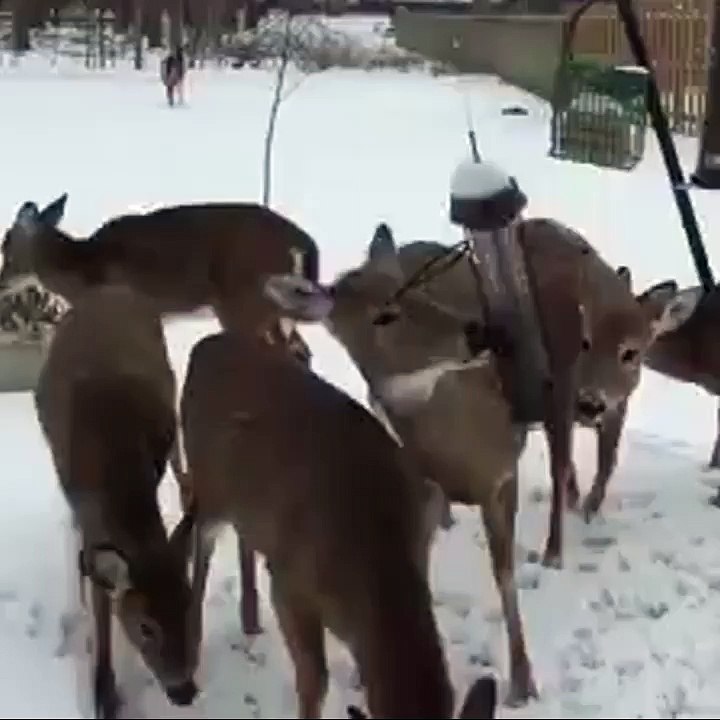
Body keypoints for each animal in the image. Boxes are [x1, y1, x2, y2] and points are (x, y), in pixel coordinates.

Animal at [34, 283, 198, 720]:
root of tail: (110, 289)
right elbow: (102, 607)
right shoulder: (92, 525)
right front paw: (104, 694)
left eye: (190, 609)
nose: (185, 691)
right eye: (145, 627)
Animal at [176, 328, 497, 719]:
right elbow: (314, 681)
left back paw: (249, 618)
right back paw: (191, 646)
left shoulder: (423, 538)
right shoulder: (289, 584)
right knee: (201, 540)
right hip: (209, 483)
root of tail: (203, 345)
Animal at [262, 222, 697, 707]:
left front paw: (523, 681)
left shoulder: (504, 473)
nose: (476, 332)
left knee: (569, 461)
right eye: (382, 316)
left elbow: (506, 572)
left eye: (421, 292)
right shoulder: (418, 479)